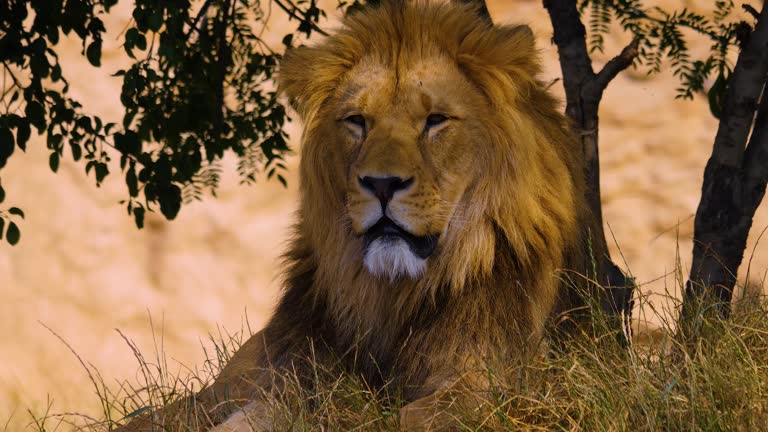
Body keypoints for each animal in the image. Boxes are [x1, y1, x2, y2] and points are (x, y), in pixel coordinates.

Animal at [117, 1, 604, 430]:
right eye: (357, 121)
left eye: (436, 120)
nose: (382, 184)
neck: (389, 296)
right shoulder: (270, 377)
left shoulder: (495, 387)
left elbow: (402, 418)